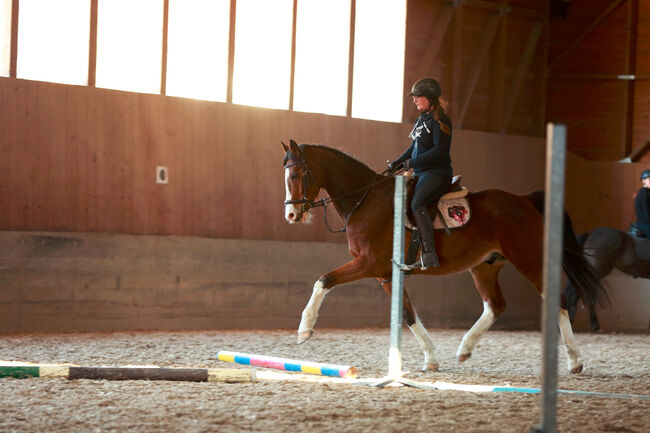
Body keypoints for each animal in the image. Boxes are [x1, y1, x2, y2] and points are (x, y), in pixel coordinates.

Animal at [280, 140, 608, 372]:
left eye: (295, 174)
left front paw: (304, 330)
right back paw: (464, 348)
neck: (366, 200)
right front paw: (431, 358)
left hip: (529, 259)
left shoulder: (369, 264)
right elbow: (407, 313)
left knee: (557, 301)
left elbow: (324, 280)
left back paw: (575, 360)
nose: (292, 215)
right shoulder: (385, 273)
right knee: (495, 306)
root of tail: (525, 201)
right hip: (485, 266)